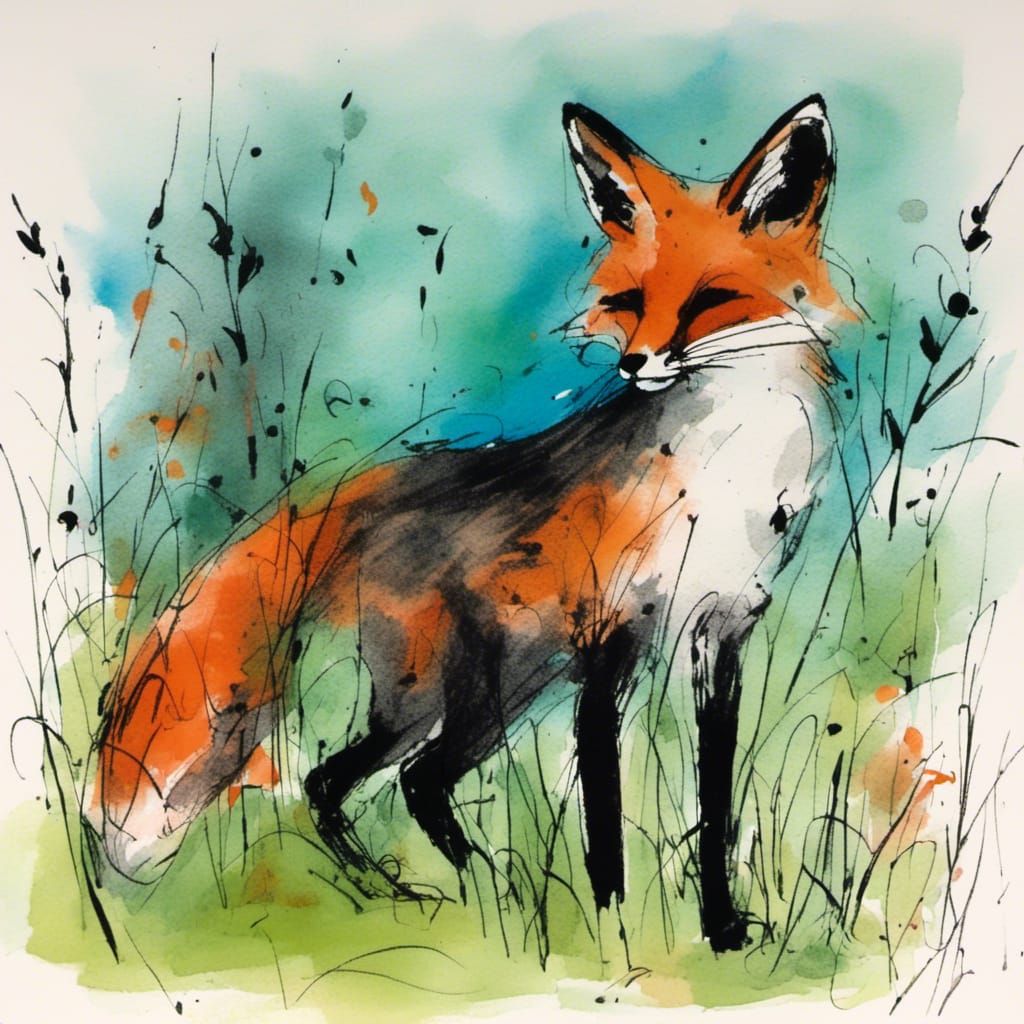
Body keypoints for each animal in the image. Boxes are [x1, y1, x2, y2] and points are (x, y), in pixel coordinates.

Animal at [90, 95, 849, 953]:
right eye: (629, 304)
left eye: (709, 301)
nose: (635, 365)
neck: (723, 465)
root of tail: (372, 488)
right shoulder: (610, 638)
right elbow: (606, 813)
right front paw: (614, 933)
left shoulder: (721, 636)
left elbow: (713, 805)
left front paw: (721, 931)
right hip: (455, 695)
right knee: (365, 778)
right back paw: (469, 895)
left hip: (496, 690)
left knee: (392, 781)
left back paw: (457, 892)